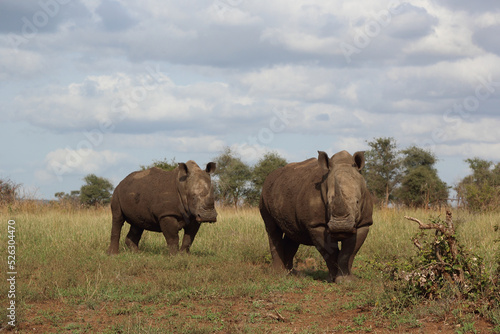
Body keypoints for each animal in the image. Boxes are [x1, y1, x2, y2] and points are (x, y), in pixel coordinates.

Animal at [260, 150, 374, 284]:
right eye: (328, 203)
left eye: (357, 202)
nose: (341, 226)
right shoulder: (316, 224)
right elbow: (330, 252)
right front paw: (332, 279)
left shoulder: (364, 224)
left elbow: (348, 253)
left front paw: (347, 280)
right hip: (264, 195)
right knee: (272, 230)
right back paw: (279, 274)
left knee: (292, 233)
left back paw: (291, 274)